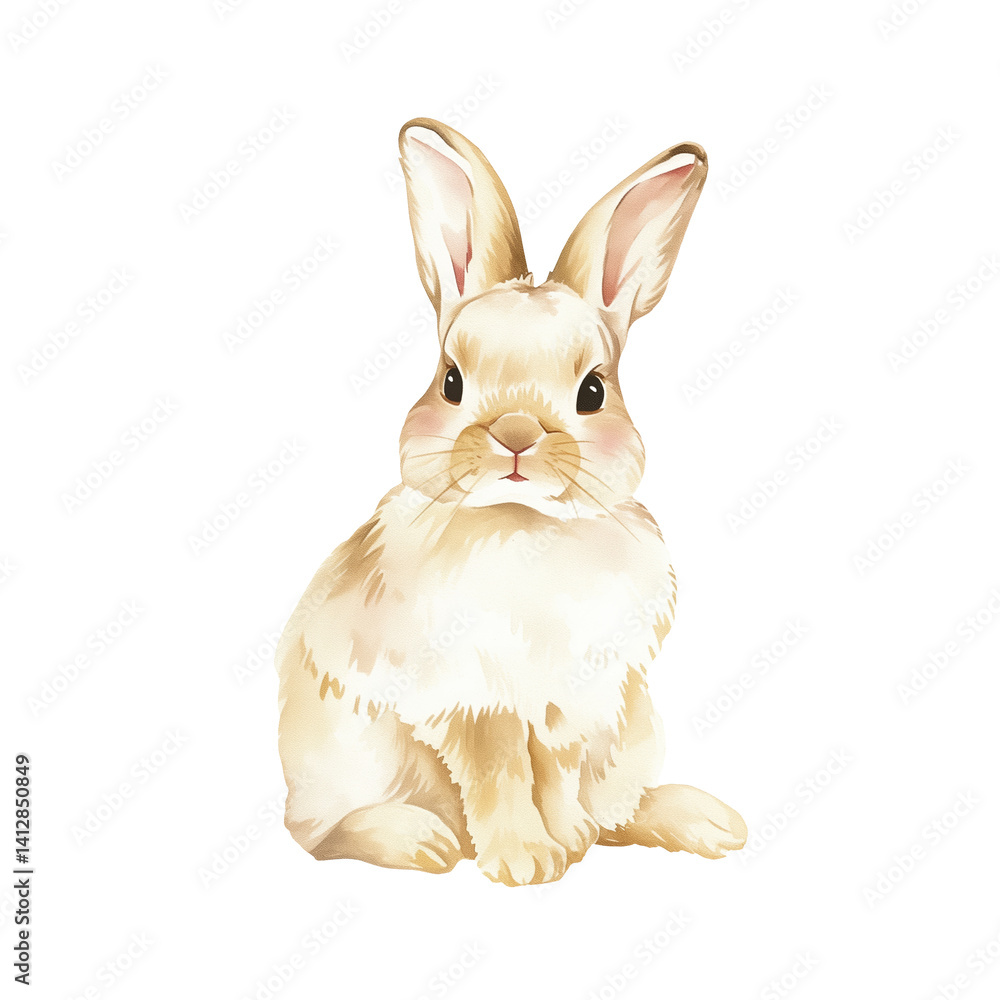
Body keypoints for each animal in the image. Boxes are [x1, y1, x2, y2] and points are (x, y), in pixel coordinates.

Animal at [275, 117, 747, 886]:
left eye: (594, 390)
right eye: (451, 382)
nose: (516, 435)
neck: (529, 525)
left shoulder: (572, 702)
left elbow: (553, 772)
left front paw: (567, 842)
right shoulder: (472, 700)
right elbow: (500, 771)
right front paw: (528, 861)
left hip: (634, 732)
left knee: (621, 810)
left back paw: (706, 822)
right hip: (340, 765)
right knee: (320, 834)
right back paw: (421, 841)